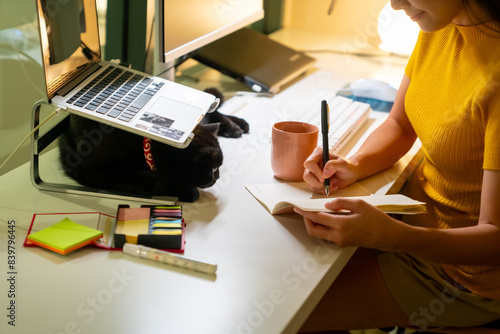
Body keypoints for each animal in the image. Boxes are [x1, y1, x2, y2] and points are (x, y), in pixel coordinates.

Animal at [57, 88, 249, 201]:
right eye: (214, 169)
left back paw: (237, 126)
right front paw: (186, 191)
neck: (143, 145)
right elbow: (155, 182)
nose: (217, 178)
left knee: (214, 113)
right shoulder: (94, 172)